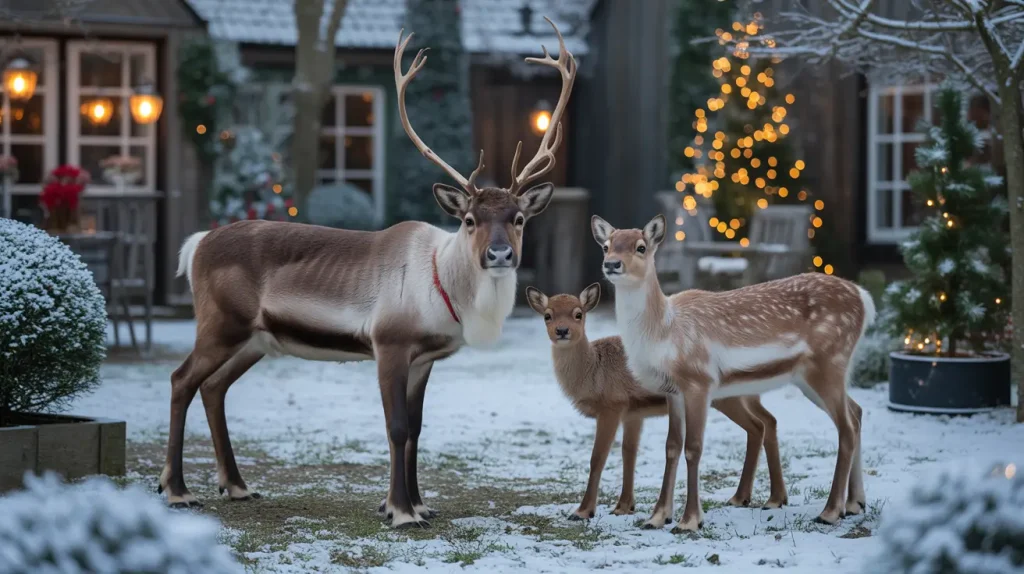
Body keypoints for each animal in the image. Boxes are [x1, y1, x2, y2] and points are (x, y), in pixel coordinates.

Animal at [158, 17, 577, 529]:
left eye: (518, 218)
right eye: (469, 219)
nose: (500, 254)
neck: (446, 291)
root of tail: (196, 244)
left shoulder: (425, 358)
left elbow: (416, 428)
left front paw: (419, 503)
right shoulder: (389, 343)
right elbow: (396, 428)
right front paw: (400, 511)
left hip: (255, 339)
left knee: (213, 387)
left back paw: (236, 485)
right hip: (220, 325)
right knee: (181, 380)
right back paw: (177, 490)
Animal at [525, 283, 788, 522]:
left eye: (578, 314)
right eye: (547, 315)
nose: (562, 331)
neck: (593, 371)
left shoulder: (612, 406)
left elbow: (598, 457)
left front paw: (582, 511)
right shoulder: (633, 412)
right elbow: (629, 453)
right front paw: (624, 506)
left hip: (728, 397)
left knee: (758, 425)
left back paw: (754, 498)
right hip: (746, 396)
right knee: (767, 422)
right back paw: (761, 498)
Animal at [591, 214, 874, 533]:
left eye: (641, 247)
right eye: (606, 246)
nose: (612, 264)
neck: (664, 332)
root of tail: (865, 299)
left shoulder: (699, 380)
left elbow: (694, 447)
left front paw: (690, 520)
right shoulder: (672, 390)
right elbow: (672, 446)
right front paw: (657, 517)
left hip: (828, 363)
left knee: (846, 427)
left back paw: (830, 511)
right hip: (814, 376)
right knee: (856, 412)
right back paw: (855, 503)